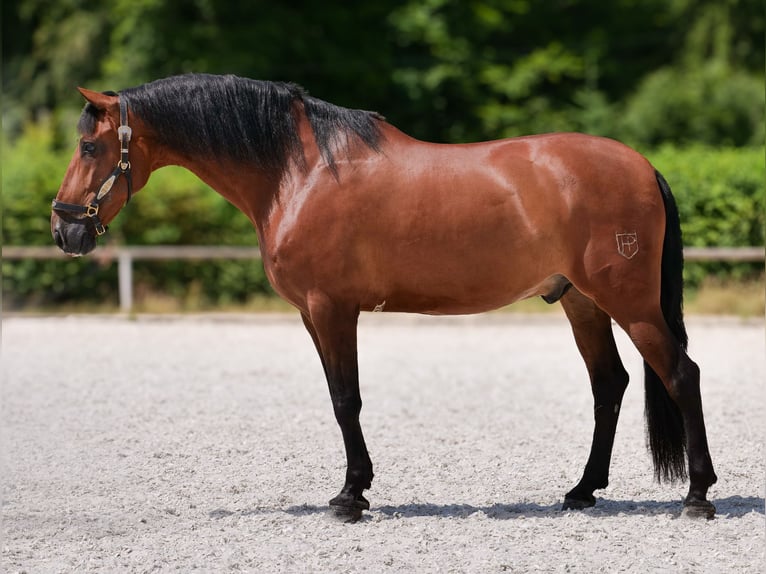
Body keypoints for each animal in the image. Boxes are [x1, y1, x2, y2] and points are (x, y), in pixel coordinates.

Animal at [51, 73, 717, 522]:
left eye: (89, 148)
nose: (64, 230)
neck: (298, 172)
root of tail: (642, 167)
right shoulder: (312, 315)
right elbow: (337, 398)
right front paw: (356, 488)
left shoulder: (331, 308)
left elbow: (347, 400)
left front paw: (350, 497)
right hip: (582, 303)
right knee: (610, 385)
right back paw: (581, 491)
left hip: (629, 302)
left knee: (681, 374)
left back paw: (697, 496)